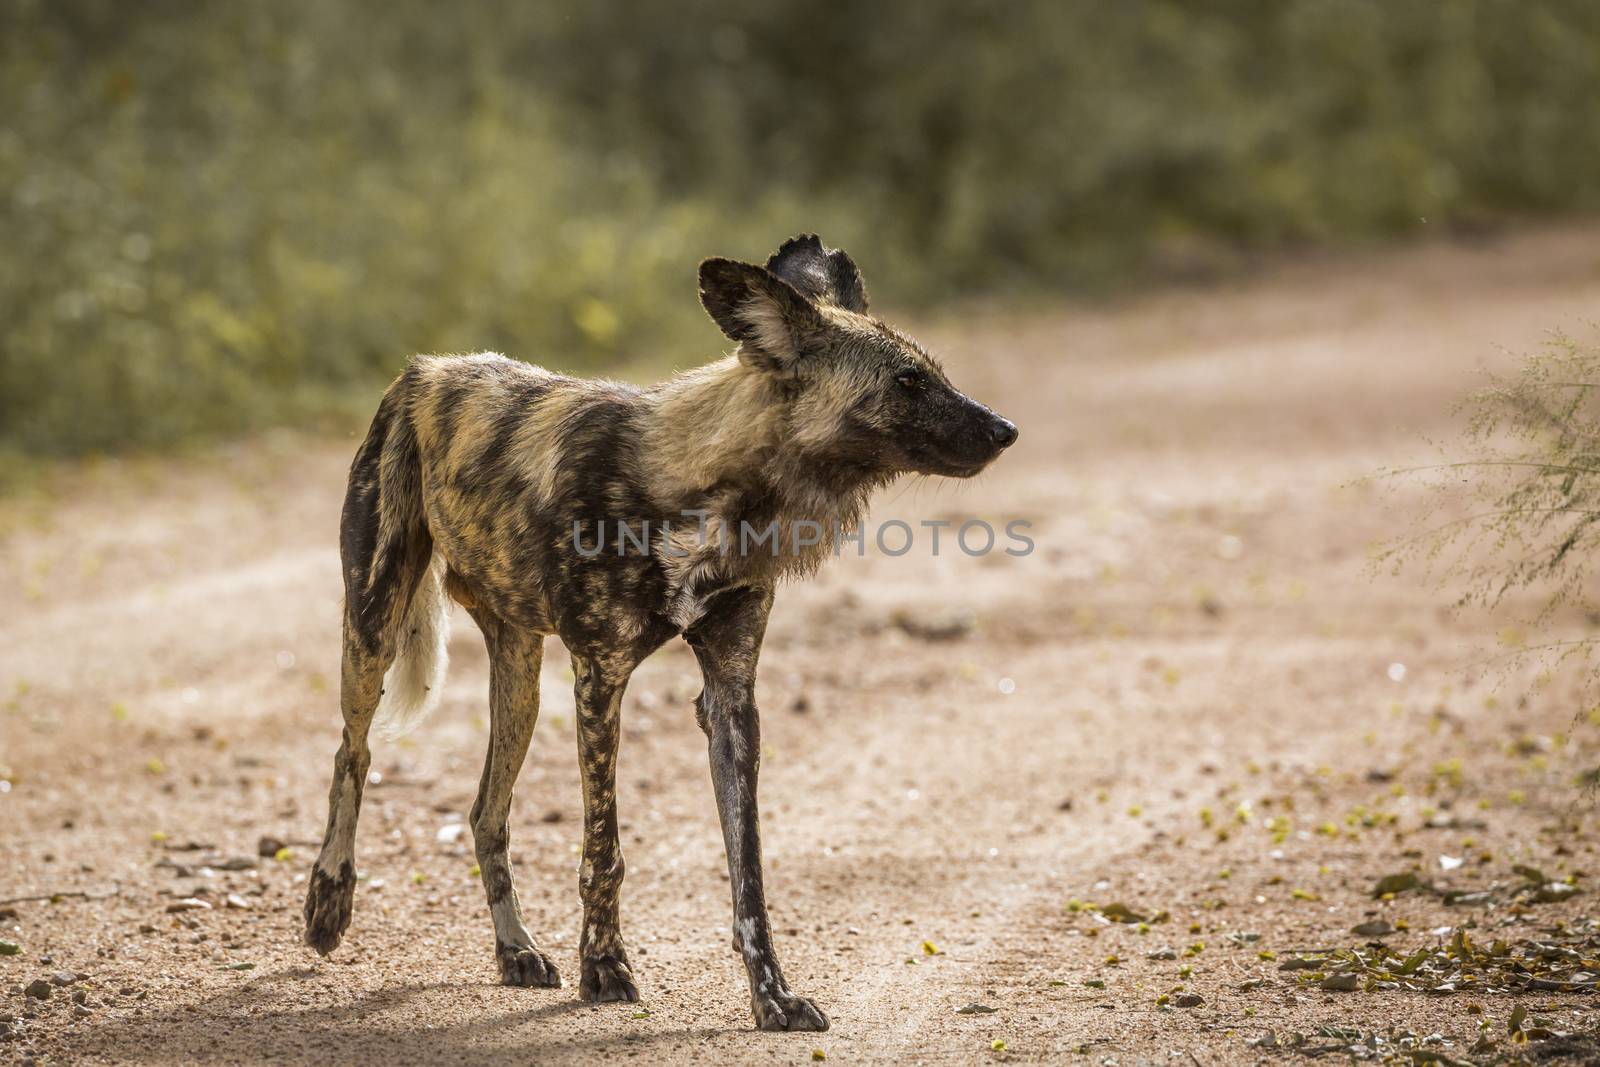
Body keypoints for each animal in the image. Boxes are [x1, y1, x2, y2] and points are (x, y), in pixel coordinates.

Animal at [305, 235, 1017, 1036]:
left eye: (934, 371)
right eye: (907, 381)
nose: (1005, 430)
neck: (712, 493)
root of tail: (424, 369)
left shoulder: (731, 697)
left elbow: (749, 872)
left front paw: (771, 994)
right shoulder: (600, 678)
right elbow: (604, 852)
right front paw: (606, 967)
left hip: (519, 679)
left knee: (487, 814)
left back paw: (517, 951)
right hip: (374, 624)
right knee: (352, 753)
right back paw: (328, 902)